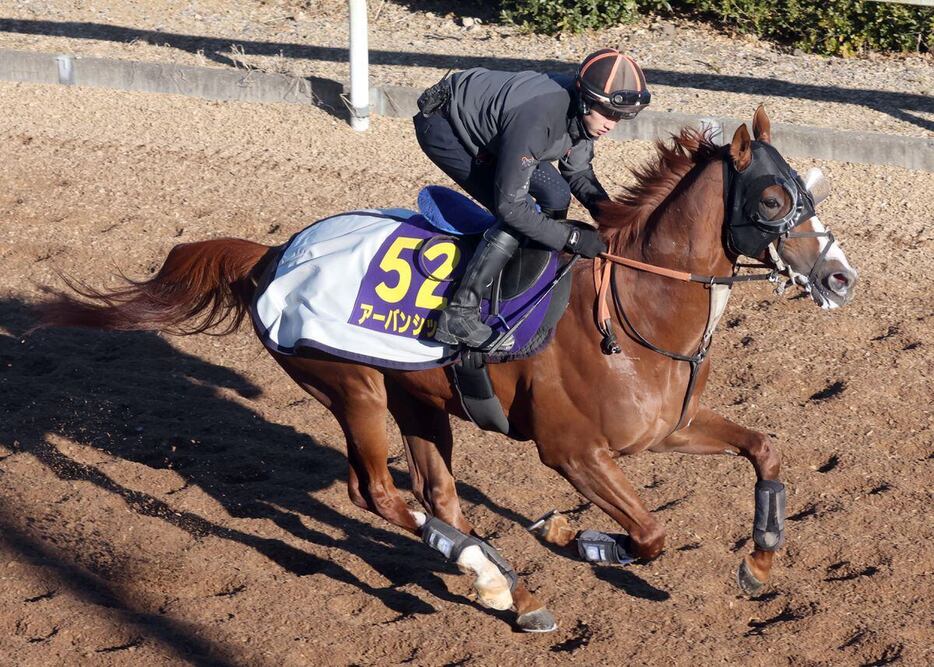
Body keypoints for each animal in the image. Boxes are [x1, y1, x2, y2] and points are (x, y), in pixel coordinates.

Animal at [38, 105, 856, 632]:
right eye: (774, 197)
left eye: (810, 189)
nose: (841, 277)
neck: (637, 312)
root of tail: (274, 252)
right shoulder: (572, 451)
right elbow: (650, 533)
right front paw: (574, 535)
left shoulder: (667, 427)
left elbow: (765, 449)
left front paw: (760, 563)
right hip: (354, 389)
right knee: (375, 492)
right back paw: (492, 576)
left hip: (420, 400)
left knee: (437, 496)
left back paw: (506, 591)